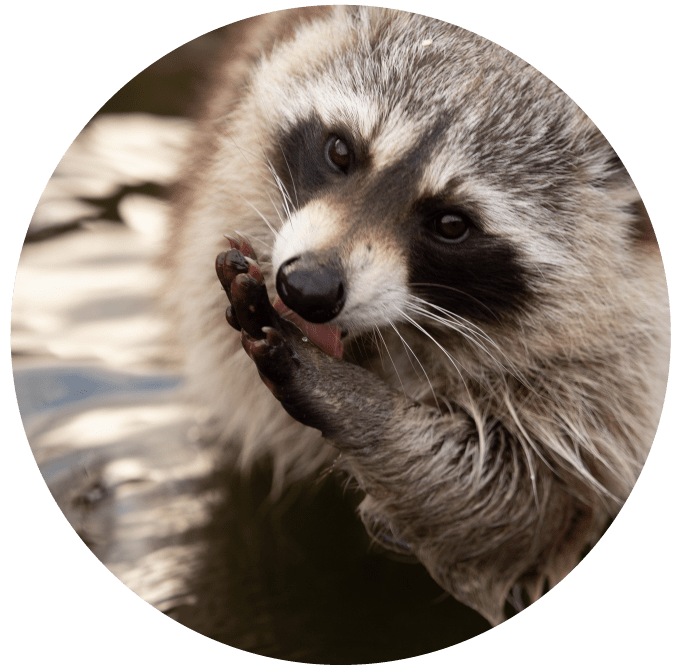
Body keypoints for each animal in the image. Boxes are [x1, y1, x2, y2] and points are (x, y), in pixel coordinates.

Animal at [163, 6, 670, 625]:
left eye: (451, 224)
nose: (307, 288)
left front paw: (353, 404)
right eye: (340, 151)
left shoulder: (620, 364)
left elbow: (525, 509)